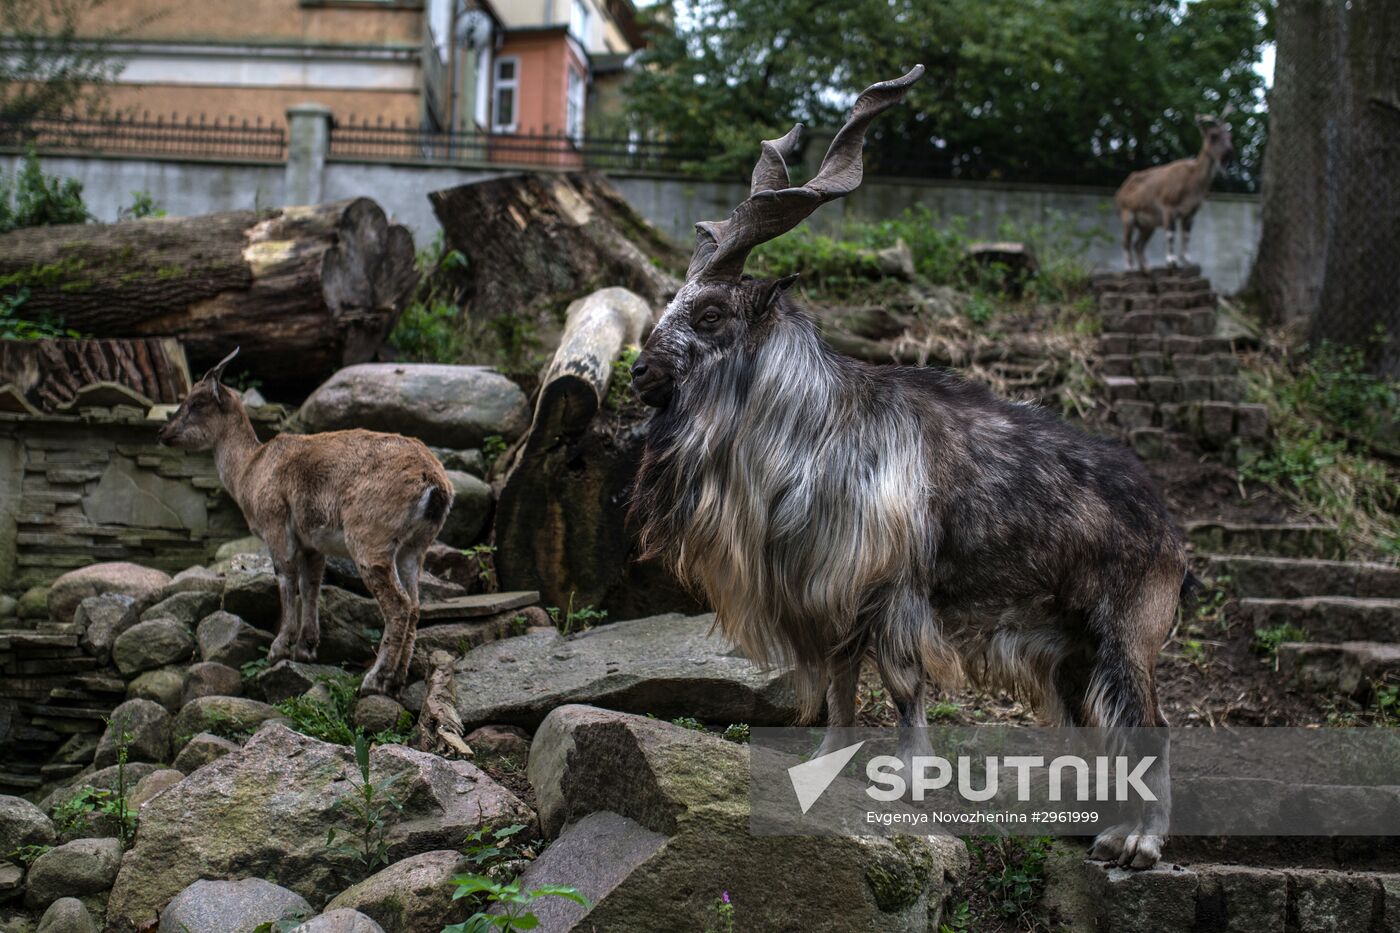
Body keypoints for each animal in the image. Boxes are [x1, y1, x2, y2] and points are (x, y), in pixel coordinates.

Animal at [158, 348, 453, 689]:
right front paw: (306, 648)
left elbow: (286, 577)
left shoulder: (275, 524)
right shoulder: (312, 542)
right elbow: (311, 583)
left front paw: (279, 648)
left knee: (399, 605)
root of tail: (435, 483)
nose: (162, 433)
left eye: (197, 402)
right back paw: (398, 677)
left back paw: (375, 679)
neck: (250, 470)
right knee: (416, 604)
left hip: (370, 538)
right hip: (414, 548)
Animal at [1114, 107, 1237, 273]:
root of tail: (1120, 191)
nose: (1229, 152)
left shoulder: (1190, 213)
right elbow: (1170, 234)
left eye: (1229, 136)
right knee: (1126, 242)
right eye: (1213, 136)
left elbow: (1186, 236)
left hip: (1148, 225)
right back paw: (1130, 268)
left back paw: (1146, 269)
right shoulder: (1169, 207)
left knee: (1138, 244)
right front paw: (1171, 262)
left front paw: (1187, 261)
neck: (1191, 181)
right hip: (1128, 215)